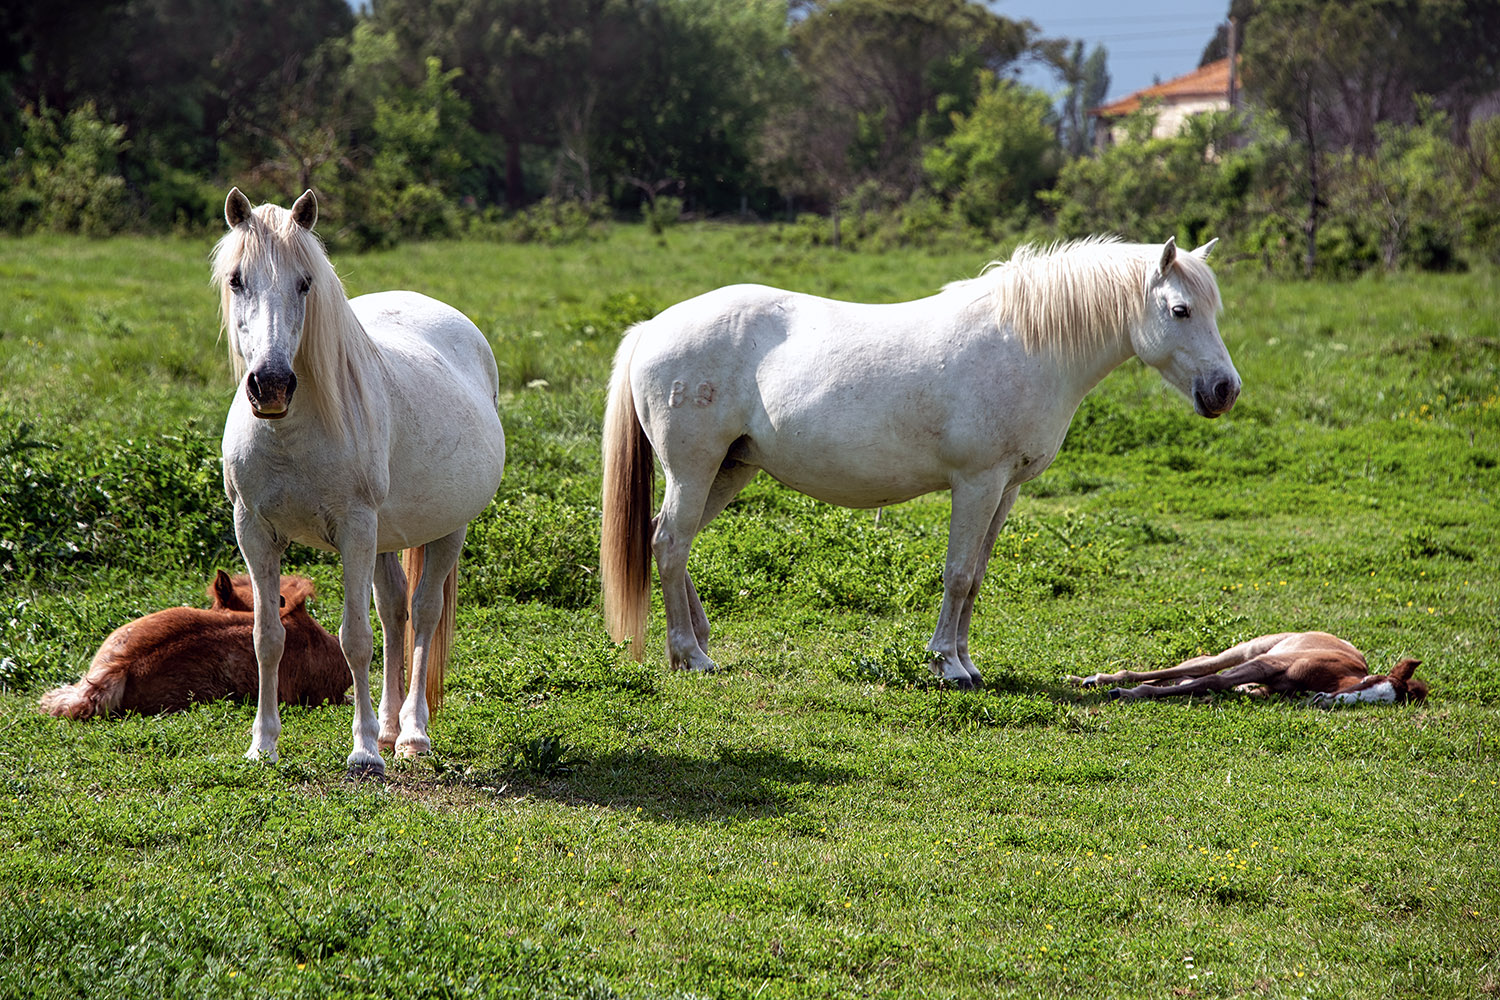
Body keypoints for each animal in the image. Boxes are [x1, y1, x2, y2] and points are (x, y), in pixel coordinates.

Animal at [211, 193, 507, 773]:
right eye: (237, 280)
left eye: (305, 282)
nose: (271, 385)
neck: (292, 433)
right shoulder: (253, 531)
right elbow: (267, 637)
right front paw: (263, 745)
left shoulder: (354, 529)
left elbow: (355, 639)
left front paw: (365, 750)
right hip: (385, 539)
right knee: (395, 611)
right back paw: (392, 727)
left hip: (446, 530)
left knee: (422, 614)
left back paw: (411, 733)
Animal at [600, 235, 1242, 689]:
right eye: (1180, 310)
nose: (1225, 390)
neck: (1024, 345)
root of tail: (653, 326)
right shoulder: (977, 483)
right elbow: (956, 573)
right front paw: (947, 666)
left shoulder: (1006, 489)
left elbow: (976, 575)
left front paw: (964, 660)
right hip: (694, 469)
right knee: (670, 543)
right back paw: (690, 655)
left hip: (728, 471)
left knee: (667, 539)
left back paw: (696, 645)